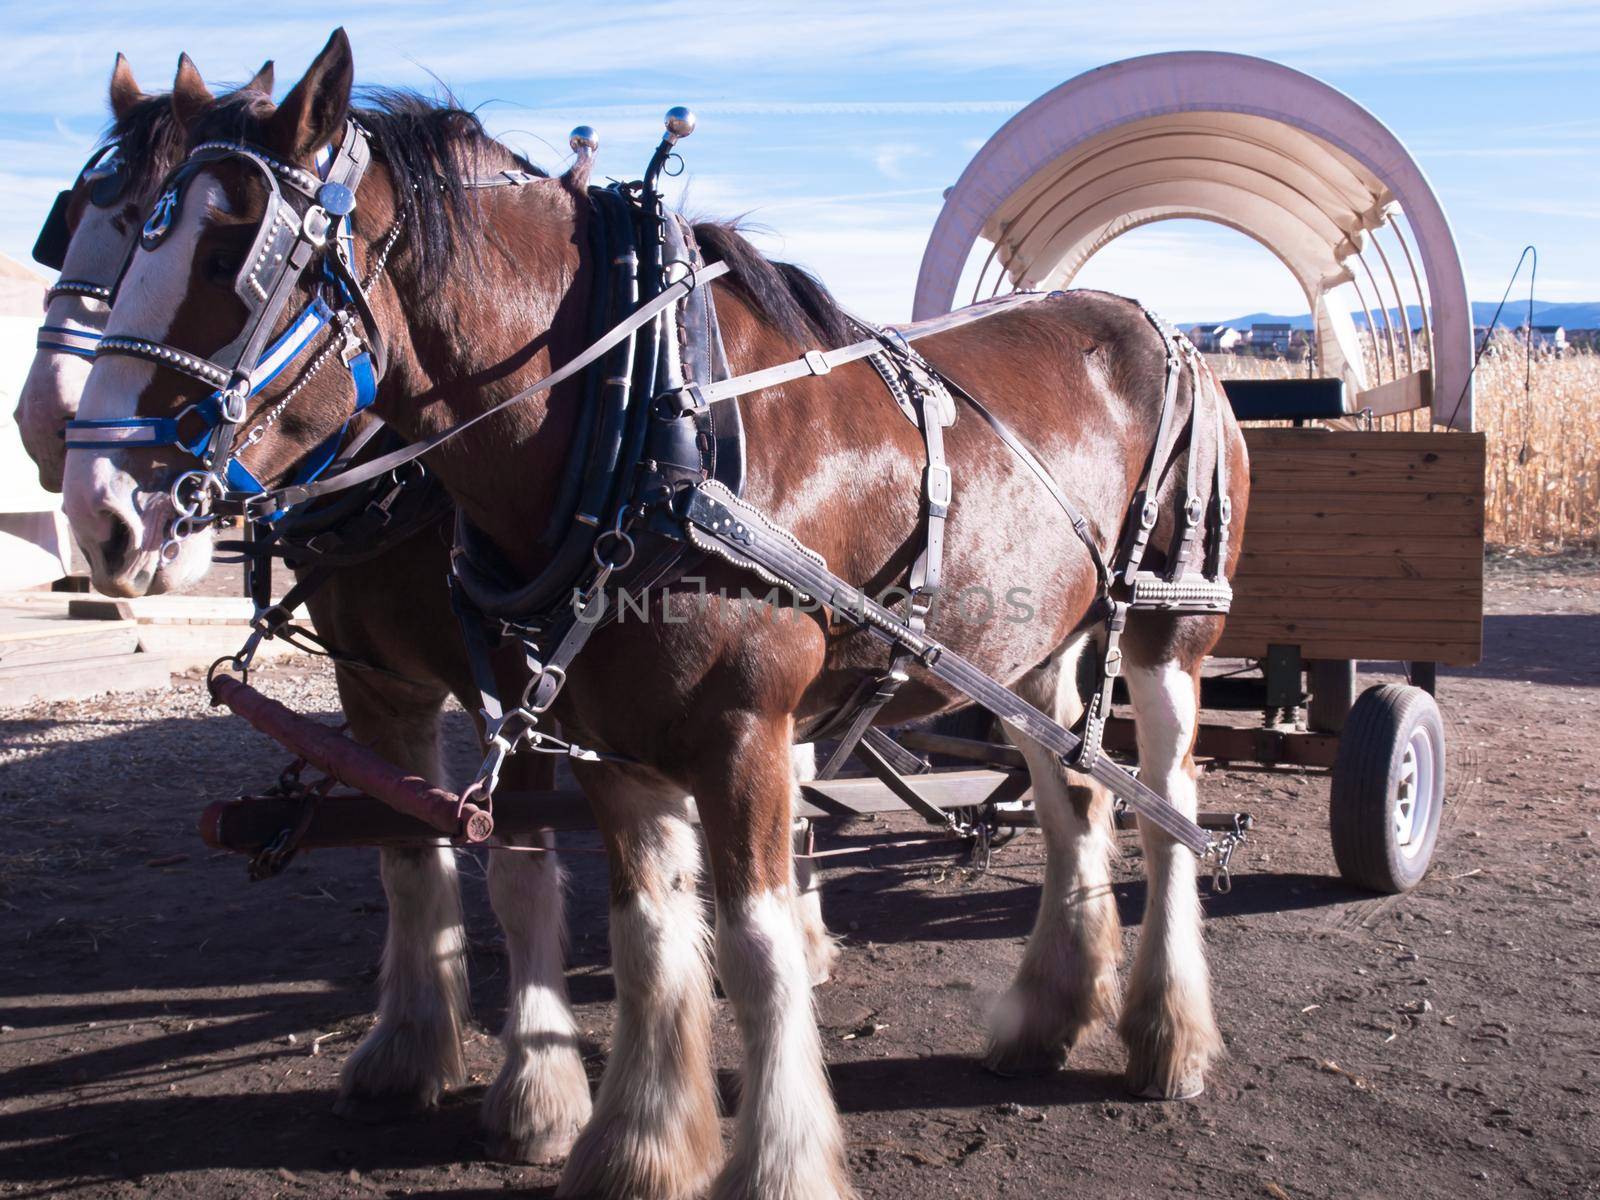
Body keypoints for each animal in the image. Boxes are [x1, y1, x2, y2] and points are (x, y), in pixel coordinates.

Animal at [62, 28, 1248, 1200]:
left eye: (237, 254)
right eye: (113, 235)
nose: (98, 510)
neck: (640, 427)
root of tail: (1161, 327)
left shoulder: (739, 733)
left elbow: (754, 945)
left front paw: (775, 1164)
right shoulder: (588, 729)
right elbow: (641, 933)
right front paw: (638, 1147)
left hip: (1167, 634)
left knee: (1167, 810)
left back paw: (1169, 1037)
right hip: (1032, 651)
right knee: (1070, 803)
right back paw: (1050, 1011)